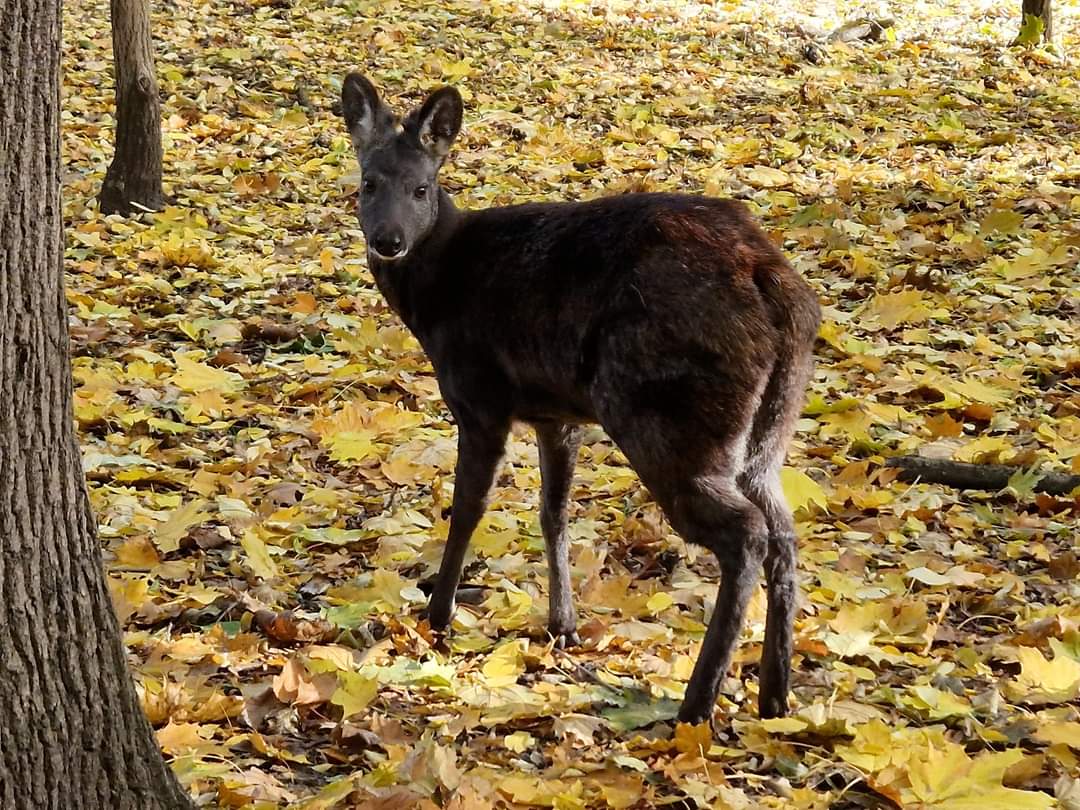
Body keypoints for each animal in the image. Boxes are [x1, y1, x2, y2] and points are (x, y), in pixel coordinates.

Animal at [339, 73, 820, 726]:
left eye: (422, 187)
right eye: (368, 182)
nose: (388, 241)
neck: (434, 300)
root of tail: (778, 285)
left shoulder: (479, 395)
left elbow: (469, 508)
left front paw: (437, 615)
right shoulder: (556, 414)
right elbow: (554, 512)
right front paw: (561, 625)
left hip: (664, 416)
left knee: (745, 534)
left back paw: (697, 704)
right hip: (764, 433)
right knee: (784, 532)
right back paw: (774, 692)